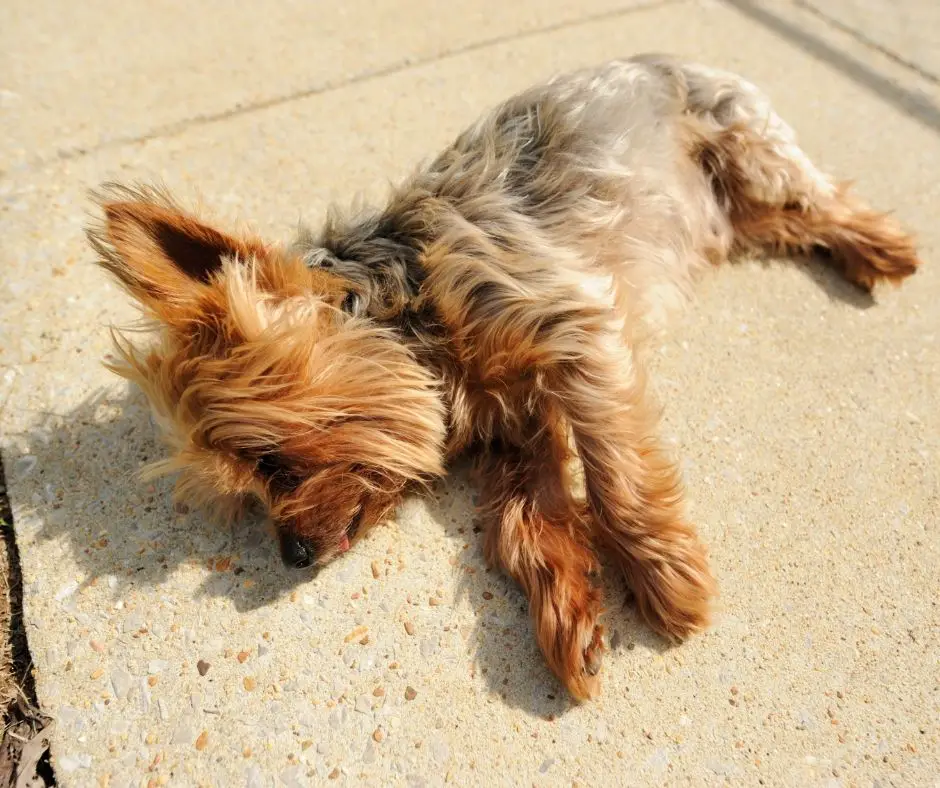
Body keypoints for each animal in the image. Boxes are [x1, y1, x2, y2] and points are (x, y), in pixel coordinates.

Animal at [84, 52, 920, 700]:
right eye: (249, 497)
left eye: (272, 461)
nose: (290, 554)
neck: (420, 315)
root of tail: (667, 56)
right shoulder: (524, 423)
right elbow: (521, 524)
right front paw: (571, 615)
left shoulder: (576, 332)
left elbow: (614, 478)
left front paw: (663, 574)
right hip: (732, 216)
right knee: (783, 222)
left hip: (744, 139)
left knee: (818, 194)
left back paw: (882, 247)